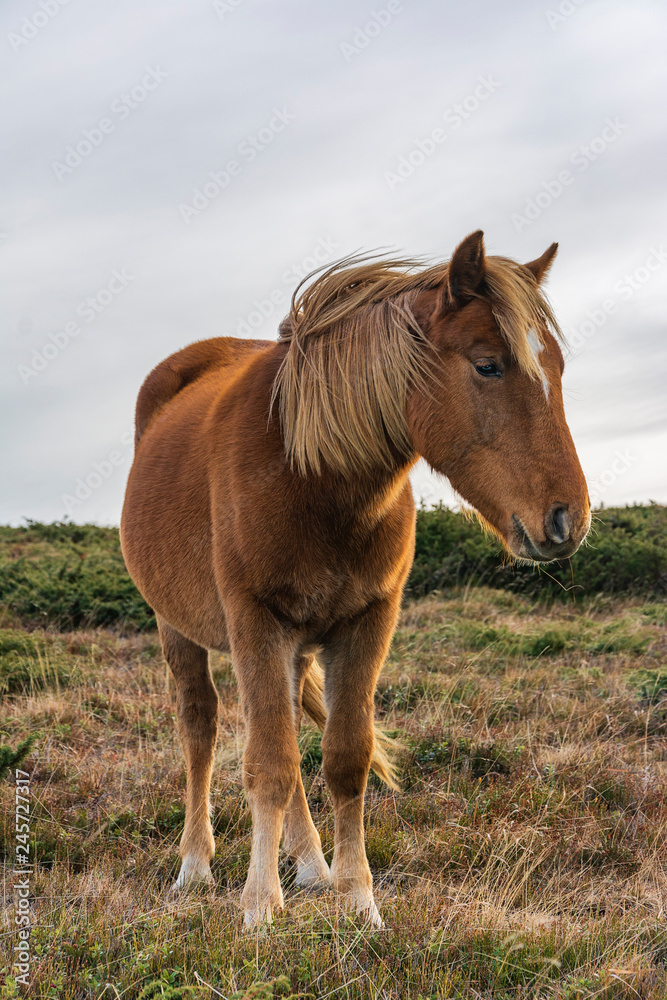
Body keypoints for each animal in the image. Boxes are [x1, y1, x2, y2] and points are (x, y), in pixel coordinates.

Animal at [120, 230, 590, 928]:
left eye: (555, 367)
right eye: (488, 366)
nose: (568, 520)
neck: (310, 473)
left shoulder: (369, 622)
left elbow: (343, 760)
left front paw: (357, 899)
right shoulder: (255, 620)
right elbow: (268, 763)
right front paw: (258, 907)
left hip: (290, 649)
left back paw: (311, 865)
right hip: (179, 626)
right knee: (200, 729)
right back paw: (196, 866)